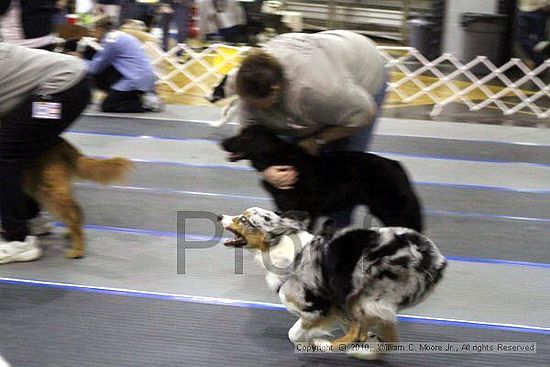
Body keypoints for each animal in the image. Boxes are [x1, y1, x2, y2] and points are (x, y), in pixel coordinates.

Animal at [220, 208, 448, 360]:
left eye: (243, 219)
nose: (220, 217)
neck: (281, 248)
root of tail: (436, 260)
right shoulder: (338, 307)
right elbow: (351, 326)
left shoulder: (317, 307)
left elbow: (294, 334)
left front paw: (314, 342)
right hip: (362, 299)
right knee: (387, 339)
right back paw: (366, 351)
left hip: (368, 298)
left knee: (362, 333)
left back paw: (333, 347)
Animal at [222, 125, 424, 231]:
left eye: (243, 137)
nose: (222, 142)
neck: (277, 158)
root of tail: (396, 165)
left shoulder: (302, 211)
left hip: (392, 211)